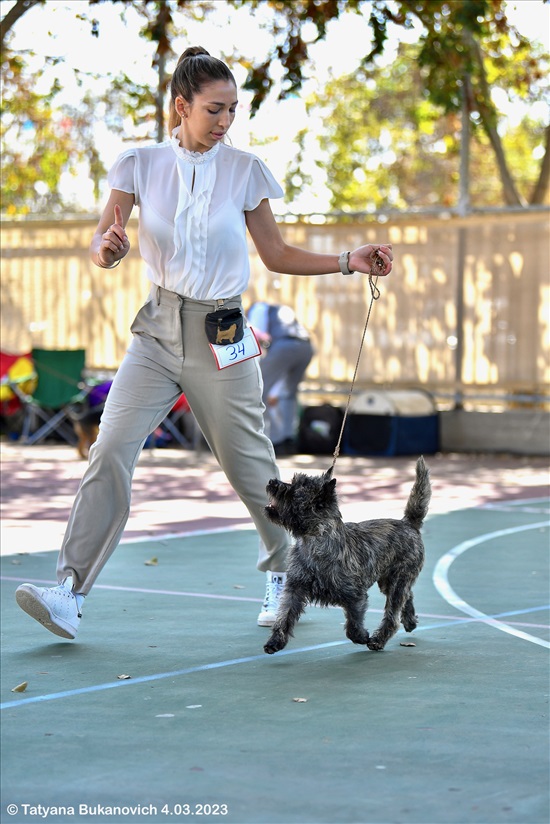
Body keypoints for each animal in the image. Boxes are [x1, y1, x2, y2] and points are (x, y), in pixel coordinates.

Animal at [262, 458, 432, 656]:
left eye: (296, 488)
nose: (271, 482)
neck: (314, 540)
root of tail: (409, 524)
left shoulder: (355, 596)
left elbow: (353, 624)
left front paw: (362, 636)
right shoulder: (295, 589)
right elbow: (284, 617)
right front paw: (275, 642)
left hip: (398, 580)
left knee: (393, 615)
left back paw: (378, 640)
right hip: (388, 582)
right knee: (408, 596)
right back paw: (410, 621)